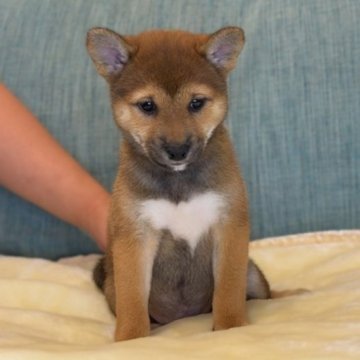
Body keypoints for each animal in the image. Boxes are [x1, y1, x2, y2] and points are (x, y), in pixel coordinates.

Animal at [87, 25, 270, 340]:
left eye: (196, 103)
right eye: (147, 105)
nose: (177, 149)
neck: (179, 182)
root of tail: (186, 316)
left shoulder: (230, 225)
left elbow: (229, 291)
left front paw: (231, 327)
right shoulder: (135, 237)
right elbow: (132, 300)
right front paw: (130, 339)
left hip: (254, 275)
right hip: (112, 288)